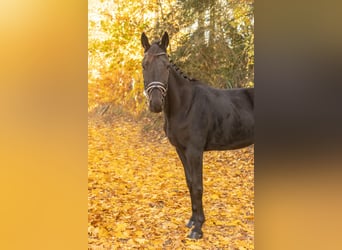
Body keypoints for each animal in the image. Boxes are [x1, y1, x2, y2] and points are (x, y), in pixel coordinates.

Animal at [140, 31, 255, 240]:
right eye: (144, 65)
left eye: (166, 66)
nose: (155, 104)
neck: (185, 104)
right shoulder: (181, 150)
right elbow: (190, 182)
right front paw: (193, 221)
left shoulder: (195, 151)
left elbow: (198, 186)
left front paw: (198, 228)